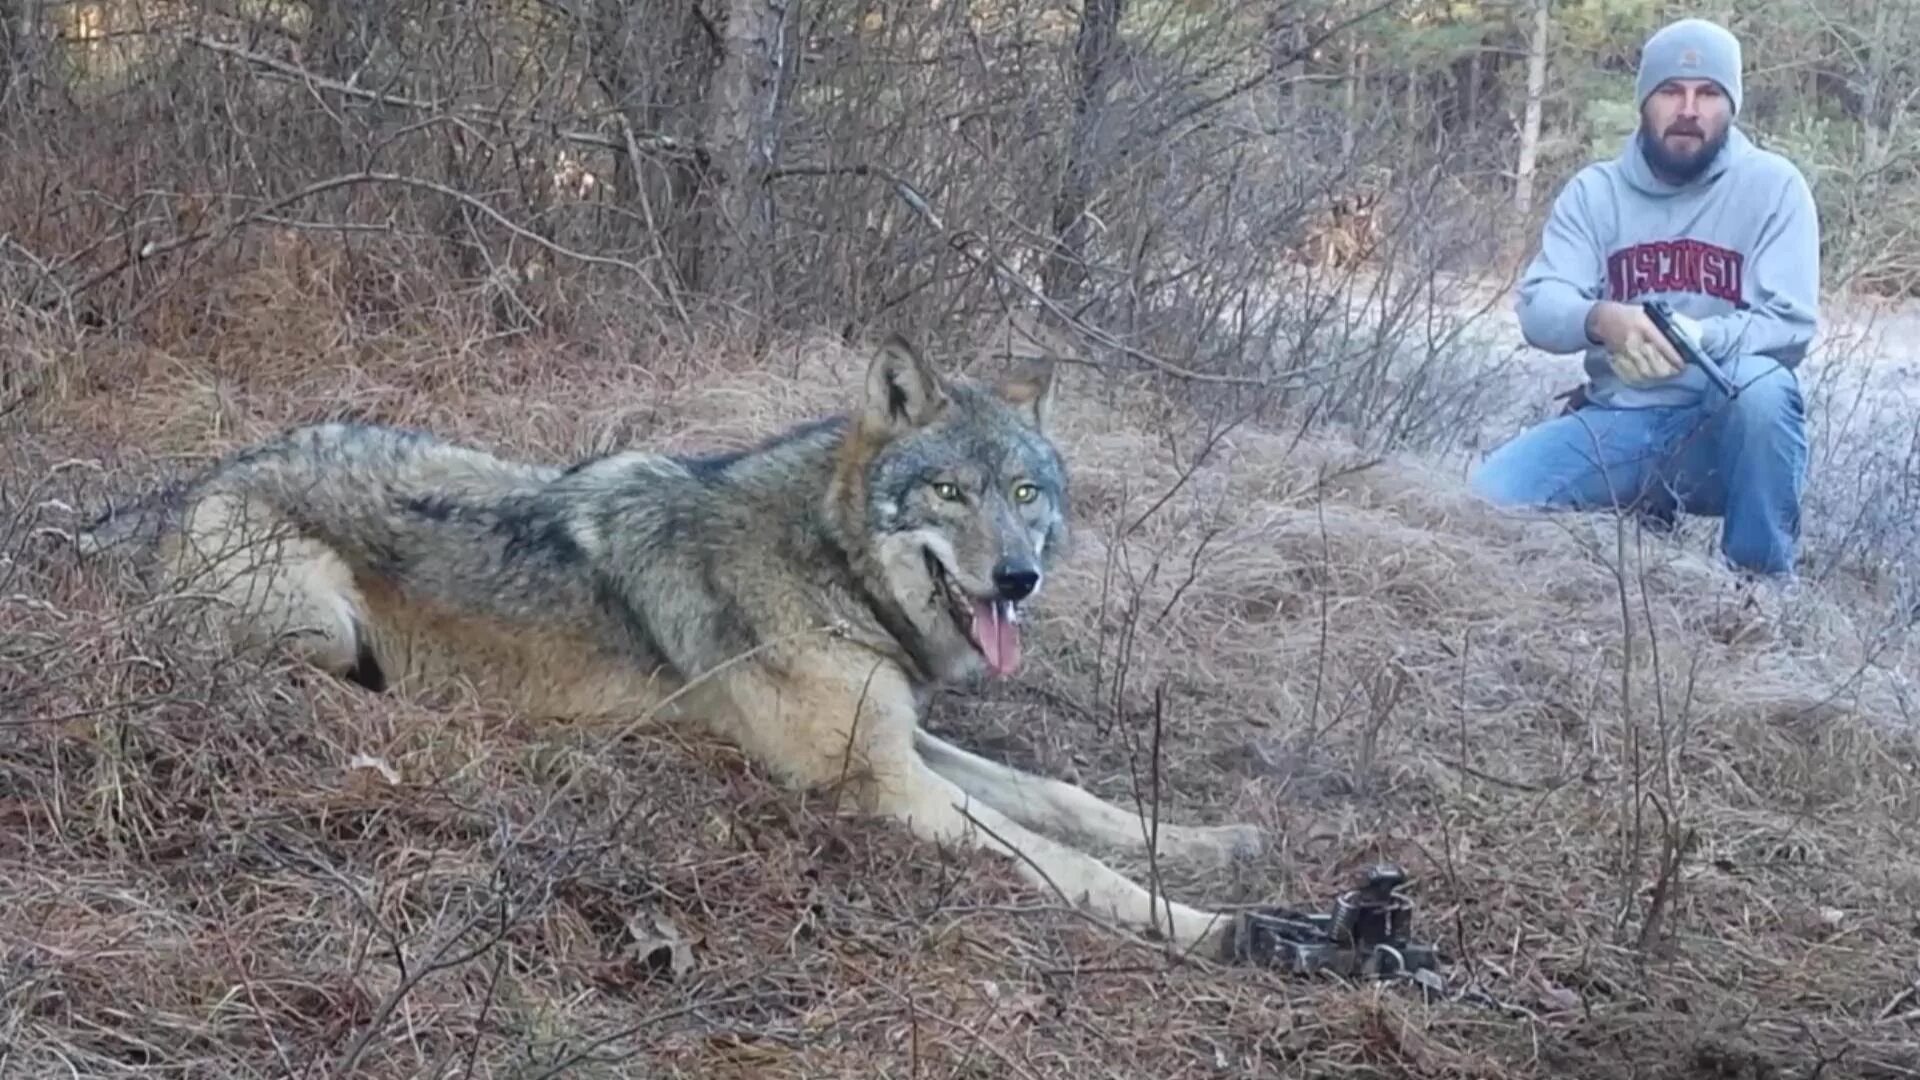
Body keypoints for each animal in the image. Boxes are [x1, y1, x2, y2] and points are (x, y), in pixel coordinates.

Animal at [78, 334, 1274, 949]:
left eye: (1028, 494)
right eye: (951, 492)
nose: (1019, 578)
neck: (827, 561)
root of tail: (200, 480)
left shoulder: (907, 740)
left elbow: (1073, 802)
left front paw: (1220, 842)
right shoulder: (882, 783)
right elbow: (1070, 863)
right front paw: (1221, 927)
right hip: (321, 623)